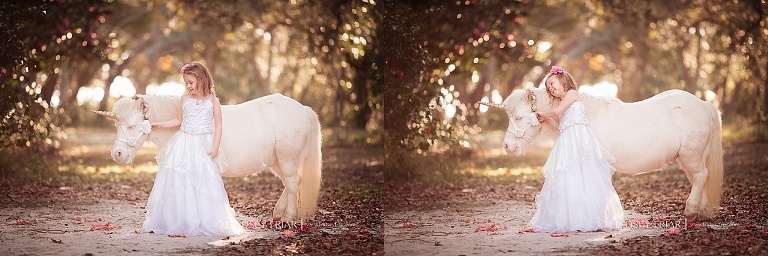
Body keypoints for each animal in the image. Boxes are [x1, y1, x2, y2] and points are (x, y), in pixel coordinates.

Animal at [93, 92, 320, 222]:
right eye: (117, 125)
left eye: (132, 126)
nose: (117, 154)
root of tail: (304, 109)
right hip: (276, 160)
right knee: (292, 182)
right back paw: (279, 213)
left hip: (287, 157)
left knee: (292, 182)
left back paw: (288, 218)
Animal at [484, 87, 724, 221]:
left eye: (517, 117)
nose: (508, 147)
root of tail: (704, 104)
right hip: (689, 158)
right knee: (700, 178)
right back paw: (701, 211)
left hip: (691, 156)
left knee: (701, 176)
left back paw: (691, 211)